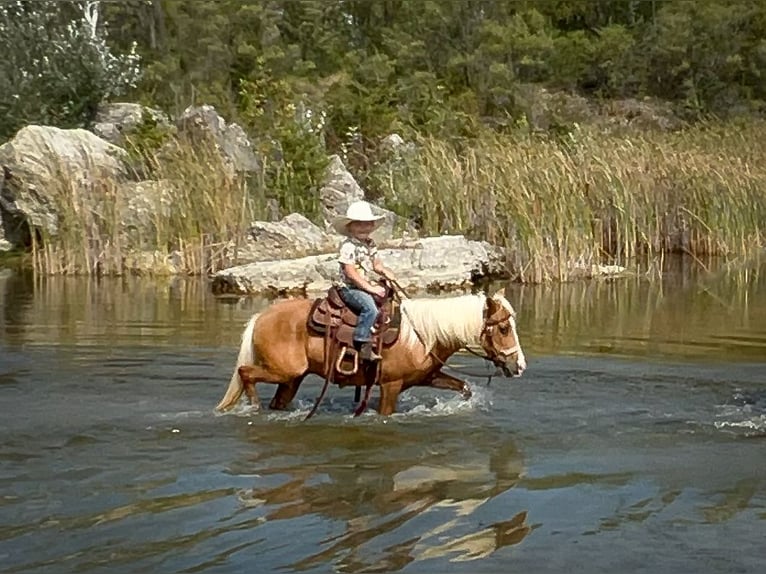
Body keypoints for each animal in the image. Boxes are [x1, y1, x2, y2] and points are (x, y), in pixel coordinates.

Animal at [216, 290, 528, 416]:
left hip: (291, 379)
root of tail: (261, 317)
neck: (421, 335)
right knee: (246, 373)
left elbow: (463, 387)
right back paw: (253, 406)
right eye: (503, 328)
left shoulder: (426, 377)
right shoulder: (390, 385)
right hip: (284, 371)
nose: (520, 366)